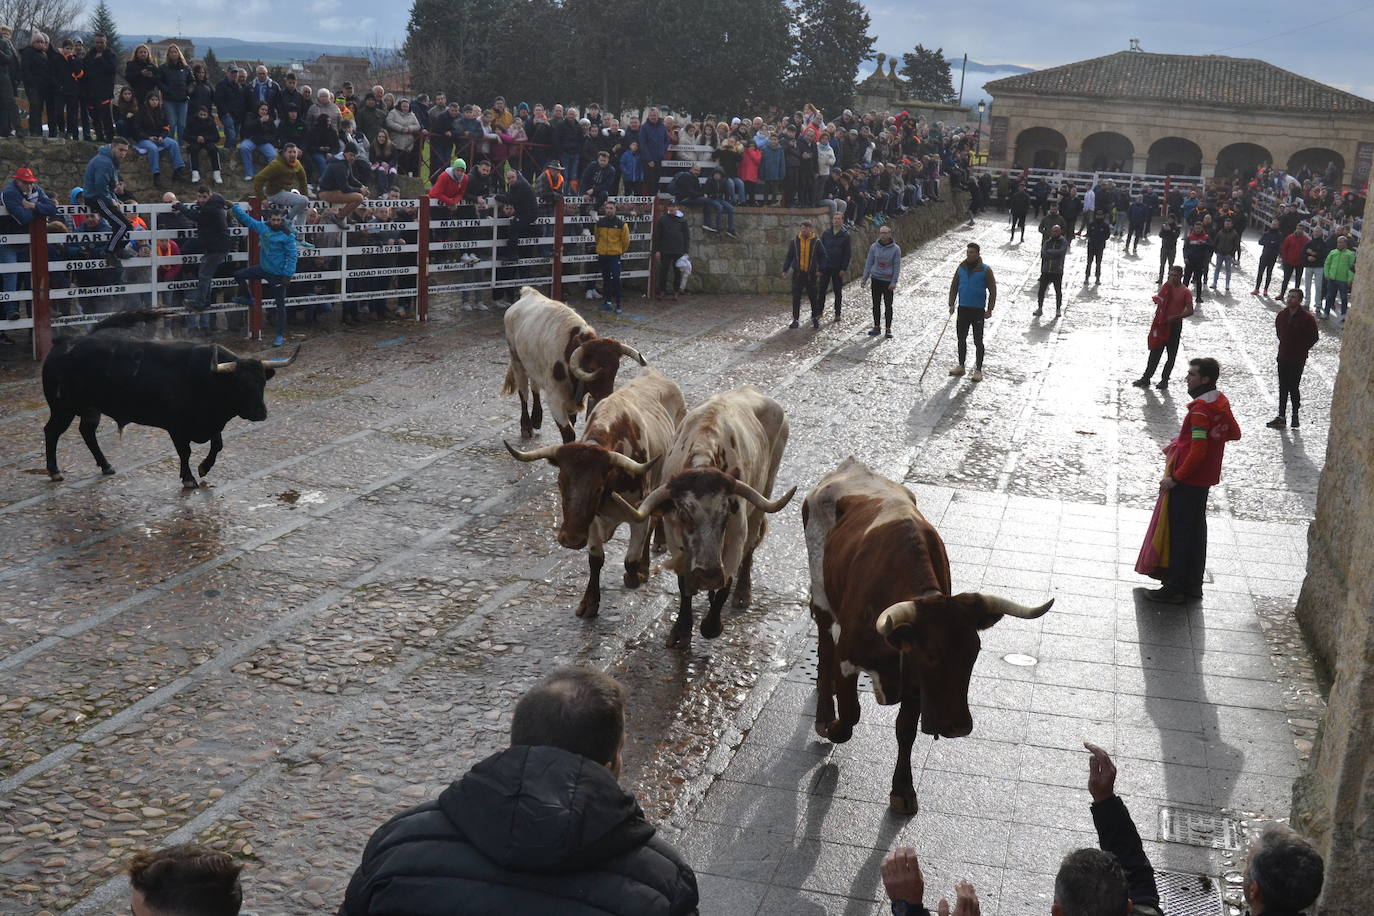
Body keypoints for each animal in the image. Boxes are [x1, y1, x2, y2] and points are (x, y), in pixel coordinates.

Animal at [42, 310, 300, 486]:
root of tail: (65, 342)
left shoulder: (212, 423)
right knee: (51, 432)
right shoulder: (177, 427)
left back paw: (106, 466)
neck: (209, 379)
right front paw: (188, 478)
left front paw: (204, 468)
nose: (260, 413)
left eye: (262, 382)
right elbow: (184, 452)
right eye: (239, 384)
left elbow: (217, 445)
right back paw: (55, 471)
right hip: (62, 408)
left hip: (90, 408)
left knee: (87, 432)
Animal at [502, 288, 645, 442]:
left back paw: (536, 419)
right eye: (592, 368)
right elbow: (569, 433)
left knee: (535, 386)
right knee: (523, 393)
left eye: (616, 369)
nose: (604, 398)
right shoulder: (555, 400)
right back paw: (526, 426)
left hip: (532, 363)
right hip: (516, 360)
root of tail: (528, 292)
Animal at [502, 368, 684, 620]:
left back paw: (654, 551)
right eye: (560, 482)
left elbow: (631, 559)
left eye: (598, 487)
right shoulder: (593, 521)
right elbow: (595, 560)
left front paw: (635, 575)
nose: (570, 539)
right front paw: (589, 602)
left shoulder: (638, 514)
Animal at [615, 384, 796, 648]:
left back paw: (742, 592)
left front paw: (711, 624)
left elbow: (726, 581)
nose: (709, 576)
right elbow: (684, 585)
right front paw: (681, 629)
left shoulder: (735, 536)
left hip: (765, 491)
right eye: (684, 515)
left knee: (751, 545)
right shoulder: (675, 539)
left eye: (726, 514)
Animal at [802, 458, 1055, 818]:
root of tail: (851, 467)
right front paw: (835, 728)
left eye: (974, 653)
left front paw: (903, 790)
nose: (959, 726)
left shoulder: (915, 681)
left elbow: (905, 730)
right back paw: (824, 715)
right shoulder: (850, 654)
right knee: (824, 647)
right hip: (822, 595)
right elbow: (851, 714)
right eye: (932, 655)